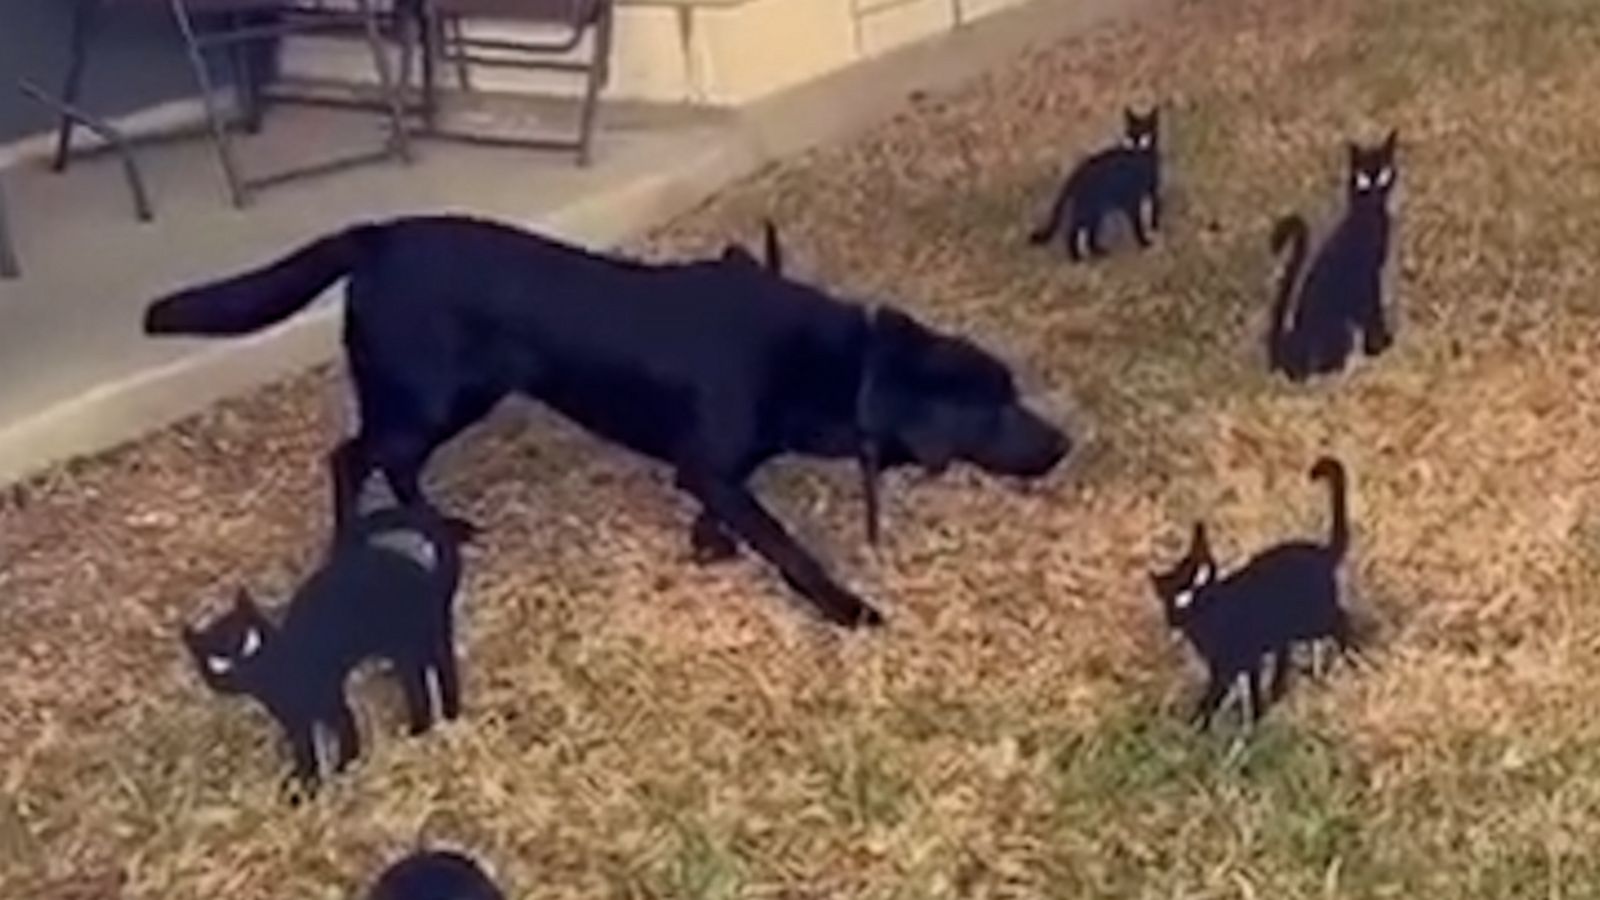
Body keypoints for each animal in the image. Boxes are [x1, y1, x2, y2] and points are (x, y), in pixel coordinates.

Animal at [144, 214, 1068, 627]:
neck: (842, 365)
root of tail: (374, 237)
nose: (1064, 443)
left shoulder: (714, 466)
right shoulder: (714, 461)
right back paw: (356, 541)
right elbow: (786, 545)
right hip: (427, 394)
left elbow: (729, 508)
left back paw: (441, 524)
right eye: (995, 407)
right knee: (350, 455)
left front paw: (709, 543)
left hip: (460, 396)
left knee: (390, 462)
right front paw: (846, 608)